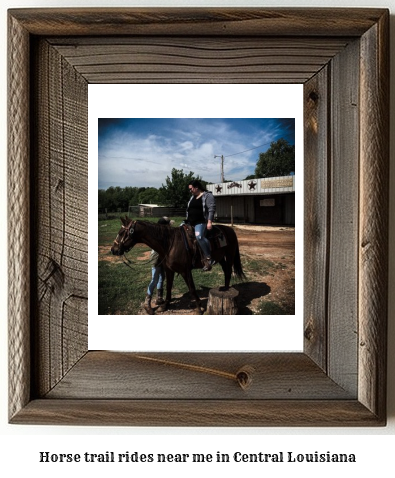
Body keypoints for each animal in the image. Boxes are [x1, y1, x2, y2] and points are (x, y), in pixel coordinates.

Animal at [110, 217, 246, 314]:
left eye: (121, 233)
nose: (113, 250)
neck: (170, 243)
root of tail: (230, 230)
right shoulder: (169, 270)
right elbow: (169, 287)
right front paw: (165, 305)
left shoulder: (185, 271)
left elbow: (192, 288)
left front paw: (199, 308)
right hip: (221, 258)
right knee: (226, 270)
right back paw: (224, 287)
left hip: (230, 255)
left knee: (228, 271)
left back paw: (226, 288)